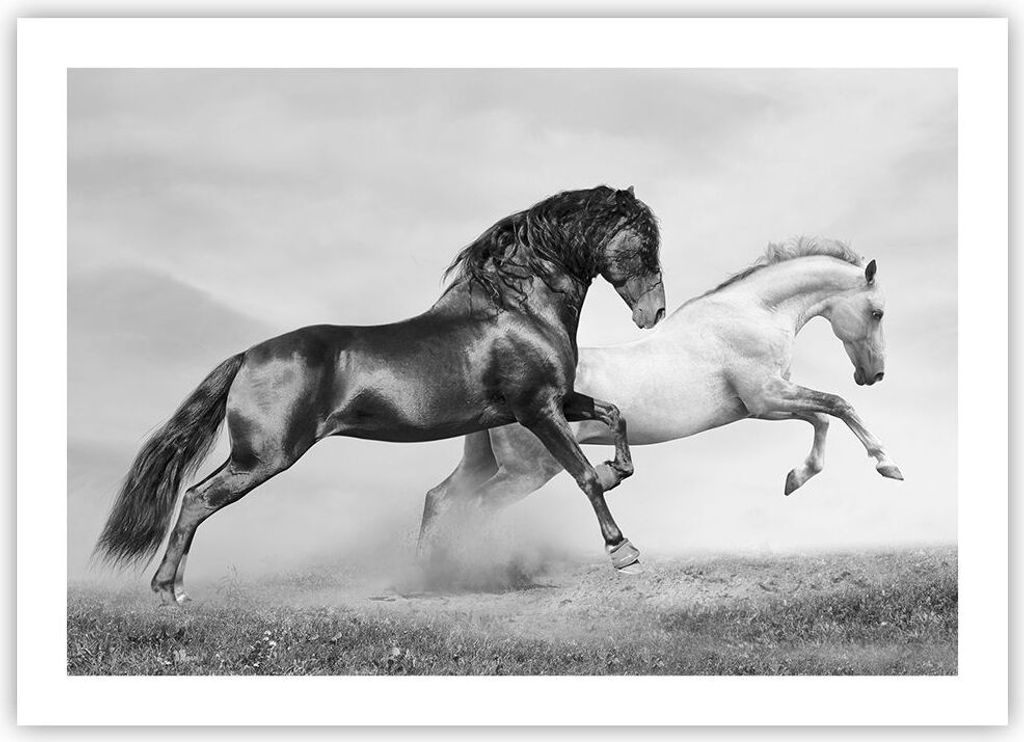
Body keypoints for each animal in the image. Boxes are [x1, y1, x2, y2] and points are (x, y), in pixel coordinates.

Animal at [95, 185, 666, 604]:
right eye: (644, 243)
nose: (654, 313)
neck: (518, 311)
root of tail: (248, 355)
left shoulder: (559, 399)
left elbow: (615, 415)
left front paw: (619, 470)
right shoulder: (537, 409)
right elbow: (584, 476)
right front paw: (623, 551)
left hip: (255, 456)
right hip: (263, 456)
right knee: (197, 498)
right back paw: (169, 592)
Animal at [418, 237, 903, 564]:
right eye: (877, 312)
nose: (874, 375)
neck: (753, 314)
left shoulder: (765, 404)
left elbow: (822, 419)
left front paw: (795, 478)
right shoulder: (766, 398)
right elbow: (837, 406)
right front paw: (888, 465)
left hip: (485, 462)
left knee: (440, 499)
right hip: (526, 472)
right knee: (475, 508)